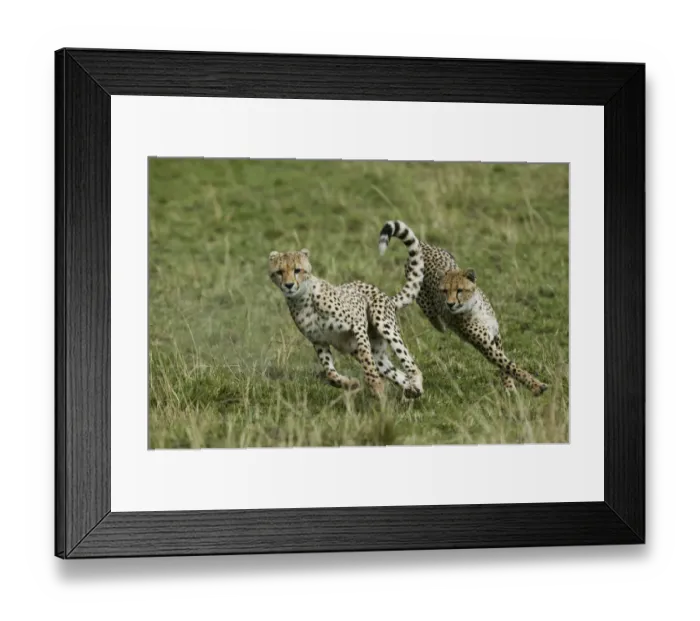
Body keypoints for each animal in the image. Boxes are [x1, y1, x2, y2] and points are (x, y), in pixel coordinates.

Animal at [269, 221, 425, 399]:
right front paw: (350, 383)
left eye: (297, 270)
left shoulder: (357, 324)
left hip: (384, 325)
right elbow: (330, 373)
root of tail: (387, 297)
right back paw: (412, 389)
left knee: (410, 365)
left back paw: (416, 383)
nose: (288, 285)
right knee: (396, 372)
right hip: (376, 352)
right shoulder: (319, 340)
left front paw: (375, 385)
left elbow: (366, 359)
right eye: (279, 272)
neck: (303, 300)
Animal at [378, 221, 548, 396]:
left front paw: (510, 388)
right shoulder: (485, 345)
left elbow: (505, 366)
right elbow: (509, 365)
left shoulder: (495, 336)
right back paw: (440, 325)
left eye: (459, 290)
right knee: (431, 313)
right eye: (444, 291)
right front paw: (535, 386)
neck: (474, 307)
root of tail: (424, 245)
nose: (449, 304)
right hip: (423, 299)